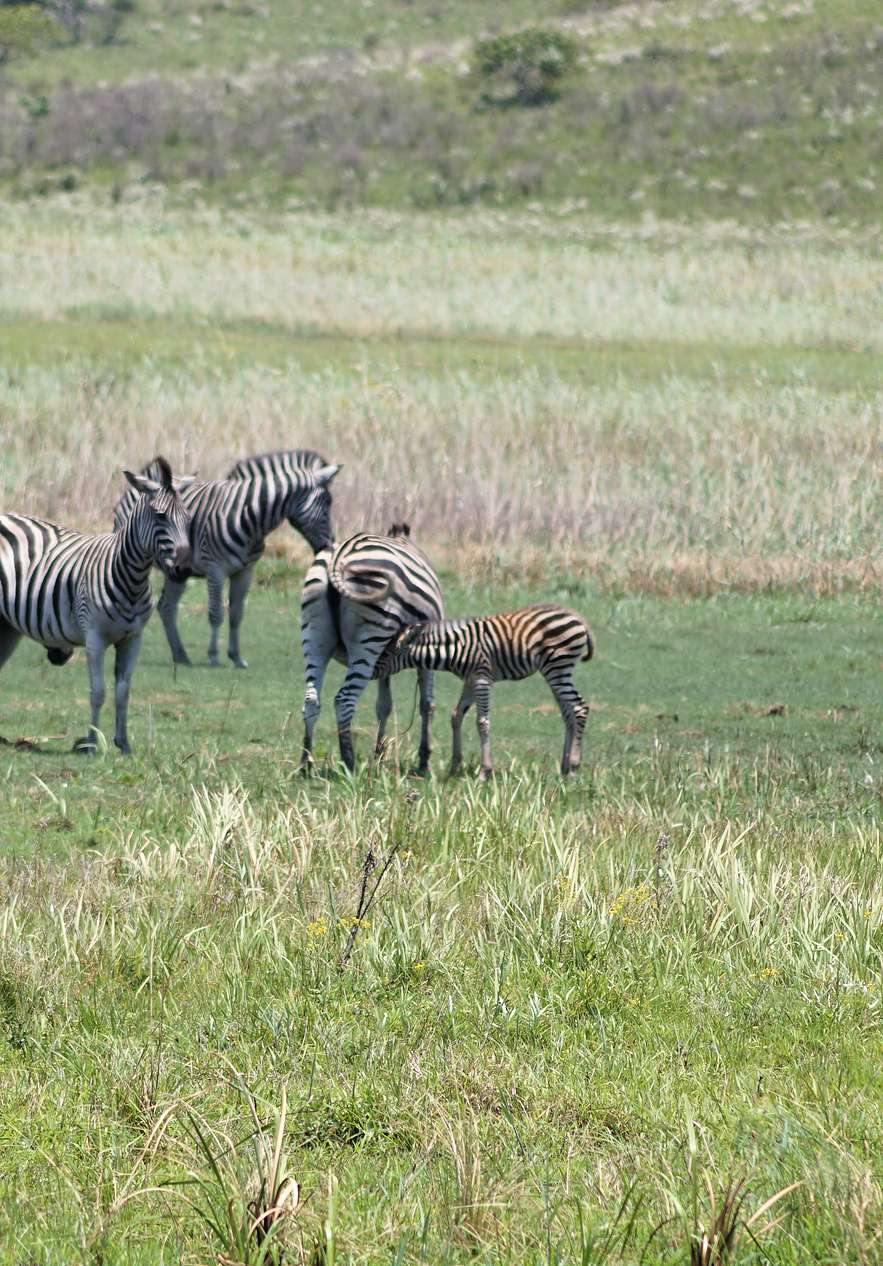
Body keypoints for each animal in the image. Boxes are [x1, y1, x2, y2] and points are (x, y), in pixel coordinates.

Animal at [0, 457, 192, 754]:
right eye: (161, 516)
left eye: (188, 518)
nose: (184, 570)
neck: (132, 578)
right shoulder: (94, 638)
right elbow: (98, 692)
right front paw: (91, 743)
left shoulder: (133, 638)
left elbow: (123, 691)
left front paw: (123, 743)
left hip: (7, 627)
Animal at [114, 450, 341, 669]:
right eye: (327, 502)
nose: (328, 547)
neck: (249, 517)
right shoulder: (215, 569)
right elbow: (216, 613)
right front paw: (214, 656)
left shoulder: (245, 571)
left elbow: (237, 614)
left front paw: (236, 657)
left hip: (178, 570)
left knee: (167, 607)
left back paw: (181, 655)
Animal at [299, 524, 445, 773]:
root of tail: (337, 558)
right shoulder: (425, 651)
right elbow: (427, 704)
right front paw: (424, 761)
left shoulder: (385, 660)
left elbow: (384, 705)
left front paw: (379, 755)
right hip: (370, 638)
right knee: (344, 700)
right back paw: (349, 763)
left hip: (315, 635)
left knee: (311, 701)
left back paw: (305, 763)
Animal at [374, 604, 594, 778]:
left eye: (387, 653)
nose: (372, 671)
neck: (456, 649)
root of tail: (578, 618)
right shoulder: (470, 681)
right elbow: (456, 716)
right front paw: (455, 767)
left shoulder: (481, 679)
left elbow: (482, 722)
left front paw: (484, 772)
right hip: (555, 671)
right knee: (568, 713)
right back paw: (564, 767)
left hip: (557, 667)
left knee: (579, 708)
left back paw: (574, 768)